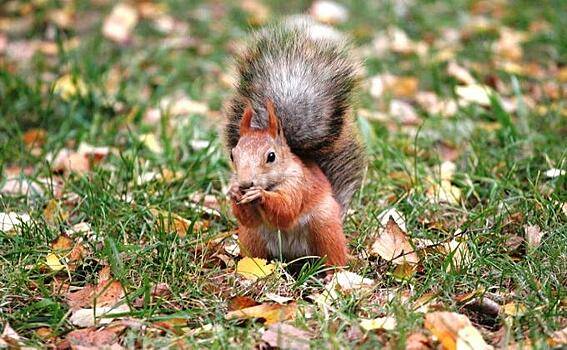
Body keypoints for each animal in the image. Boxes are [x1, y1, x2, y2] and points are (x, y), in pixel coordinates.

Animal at [224, 19, 366, 268]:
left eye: (271, 156)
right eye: (233, 155)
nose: (245, 183)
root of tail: (292, 257)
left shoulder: (299, 184)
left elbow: (286, 209)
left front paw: (260, 194)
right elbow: (247, 218)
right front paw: (233, 192)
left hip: (325, 228)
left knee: (333, 256)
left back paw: (333, 272)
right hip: (252, 238)